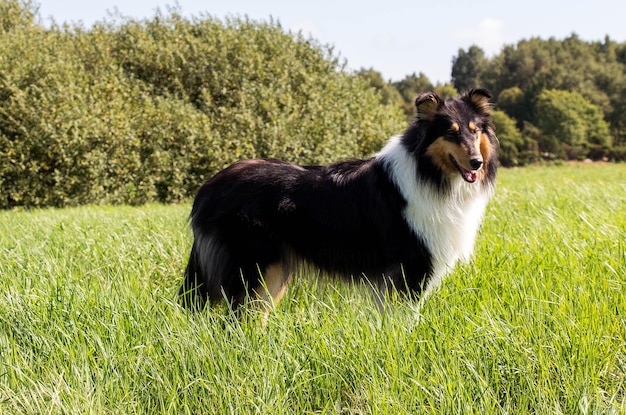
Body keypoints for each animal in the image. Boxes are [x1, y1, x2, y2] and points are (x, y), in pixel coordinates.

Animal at [179, 88, 498, 316]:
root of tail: (209, 187)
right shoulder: (409, 270)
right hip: (253, 266)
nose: (476, 163)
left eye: (474, 131)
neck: (429, 172)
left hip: (273, 272)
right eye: (450, 133)